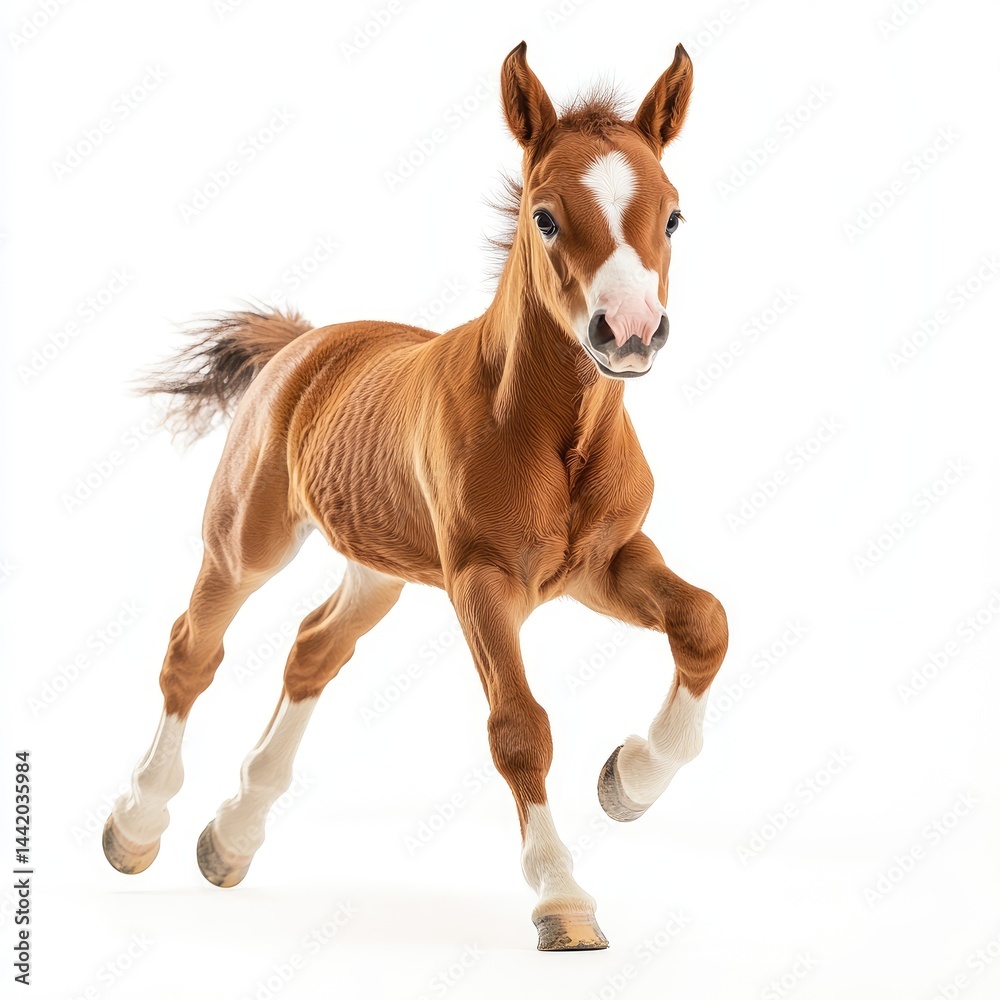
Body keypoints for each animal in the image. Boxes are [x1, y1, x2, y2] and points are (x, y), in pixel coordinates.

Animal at [102, 41, 728, 952]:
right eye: (545, 217)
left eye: (673, 217)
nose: (630, 332)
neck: (558, 432)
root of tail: (304, 344)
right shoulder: (482, 580)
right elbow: (519, 728)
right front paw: (563, 898)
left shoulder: (603, 562)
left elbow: (705, 622)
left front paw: (631, 778)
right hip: (247, 540)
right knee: (193, 648)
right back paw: (137, 826)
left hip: (378, 566)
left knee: (313, 648)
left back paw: (231, 838)